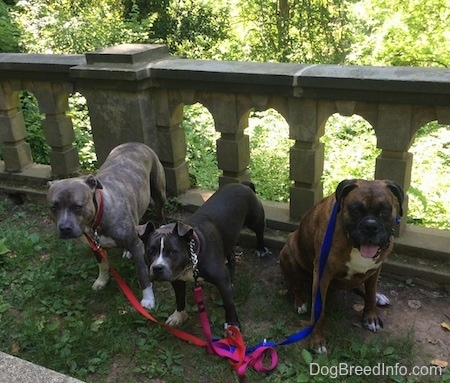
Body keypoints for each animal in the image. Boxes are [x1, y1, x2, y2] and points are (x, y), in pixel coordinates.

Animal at [46, 142, 166, 310]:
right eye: (53, 207)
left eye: (78, 206)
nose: (64, 229)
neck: (98, 218)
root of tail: (135, 143)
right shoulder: (94, 246)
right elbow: (102, 264)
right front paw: (101, 281)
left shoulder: (136, 246)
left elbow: (143, 274)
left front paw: (148, 299)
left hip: (159, 192)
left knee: (160, 212)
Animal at [139, 183, 268, 330]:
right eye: (150, 251)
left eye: (173, 251)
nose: (157, 268)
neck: (192, 258)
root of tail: (242, 184)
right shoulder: (177, 280)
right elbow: (179, 298)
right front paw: (179, 315)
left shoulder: (221, 279)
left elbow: (228, 303)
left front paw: (232, 324)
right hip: (227, 239)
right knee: (231, 257)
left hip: (255, 219)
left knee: (260, 231)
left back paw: (261, 248)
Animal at [282, 180, 404, 354]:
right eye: (356, 210)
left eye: (385, 211)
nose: (370, 226)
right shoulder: (322, 275)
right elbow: (319, 312)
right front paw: (317, 340)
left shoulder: (375, 269)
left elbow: (370, 293)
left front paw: (371, 316)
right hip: (288, 251)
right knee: (295, 284)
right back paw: (300, 302)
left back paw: (378, 297)